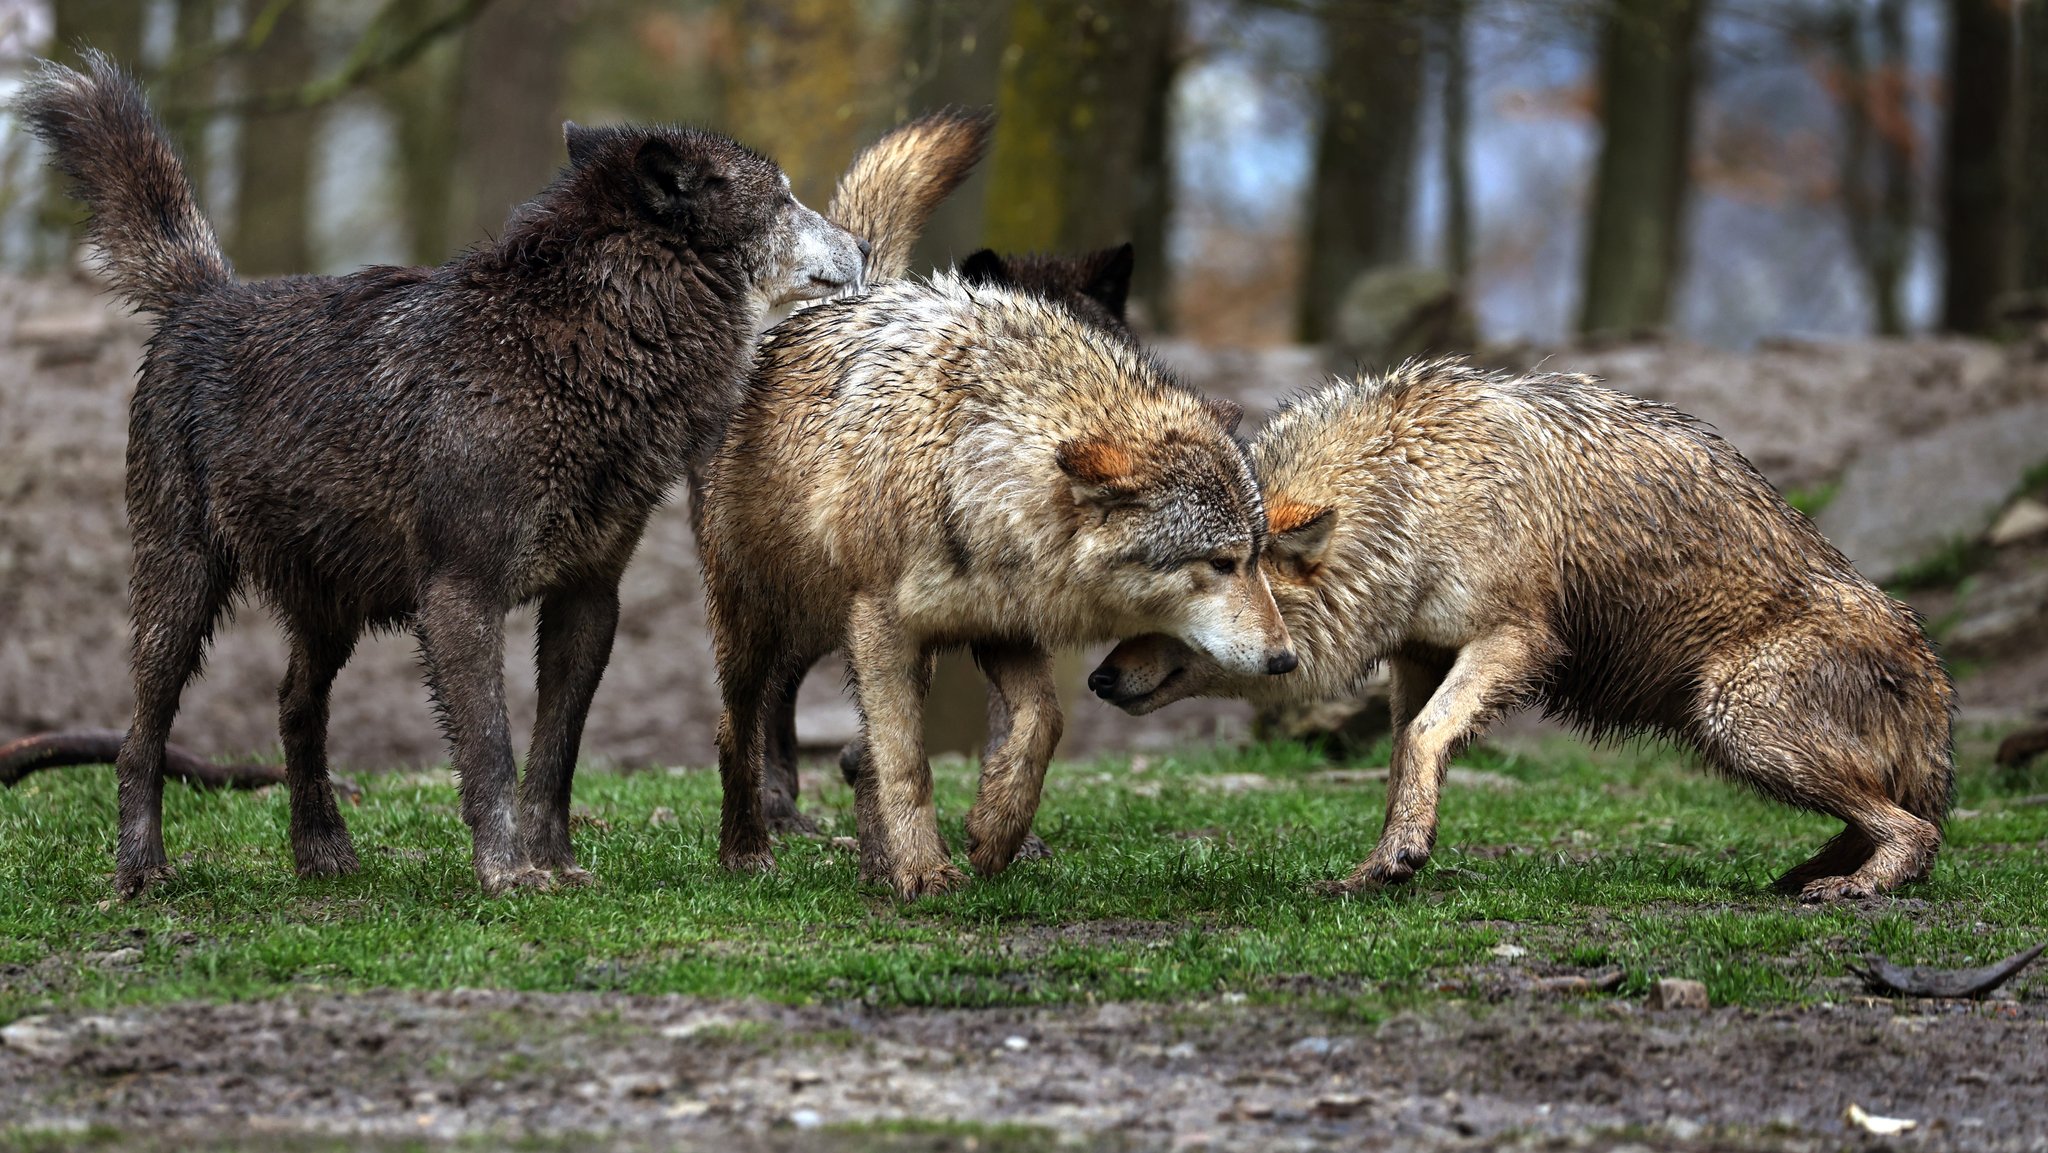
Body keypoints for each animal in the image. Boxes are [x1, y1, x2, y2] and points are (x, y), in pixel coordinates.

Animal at [25, 51, 872, 901]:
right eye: (786, 197)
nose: (865, 244)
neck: (567, 353)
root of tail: (202, 292)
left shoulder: (589, 595)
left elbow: (555, 753)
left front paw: (554, 861)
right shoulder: (462, 594)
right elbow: (492, 747)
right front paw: (505, 870)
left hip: (331, 608)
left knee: (295, 705)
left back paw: (323, 852)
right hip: (183, 585)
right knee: (141, 734)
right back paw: (143, 868)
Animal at [1089, 360, 1949, 901]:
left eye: (1175, 603)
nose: (1099, 678)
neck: (1414, 492)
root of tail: (1934, 682)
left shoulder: (1516, 639)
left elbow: (1425, 737)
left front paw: (1401, 857)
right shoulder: (1418, 655)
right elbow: (1403, 756)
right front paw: (1381, 863)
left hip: (1736, 720)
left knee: (1914, 829)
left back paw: (1855, 887)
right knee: (1885, 822)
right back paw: (1804, 877)